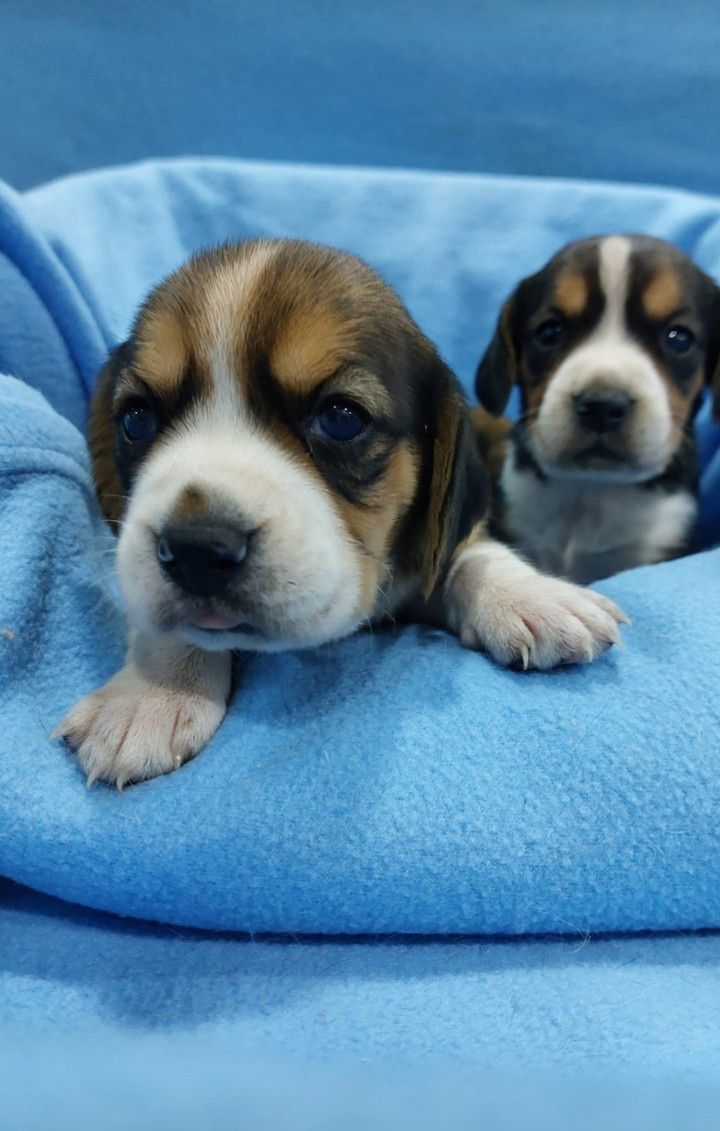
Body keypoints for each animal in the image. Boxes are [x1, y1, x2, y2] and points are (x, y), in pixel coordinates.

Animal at [53, 238, 628, 787]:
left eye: (342, 417)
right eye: (137, 419)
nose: (196, 548)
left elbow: (470, 552)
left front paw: (531, 596)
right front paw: (151, 695)